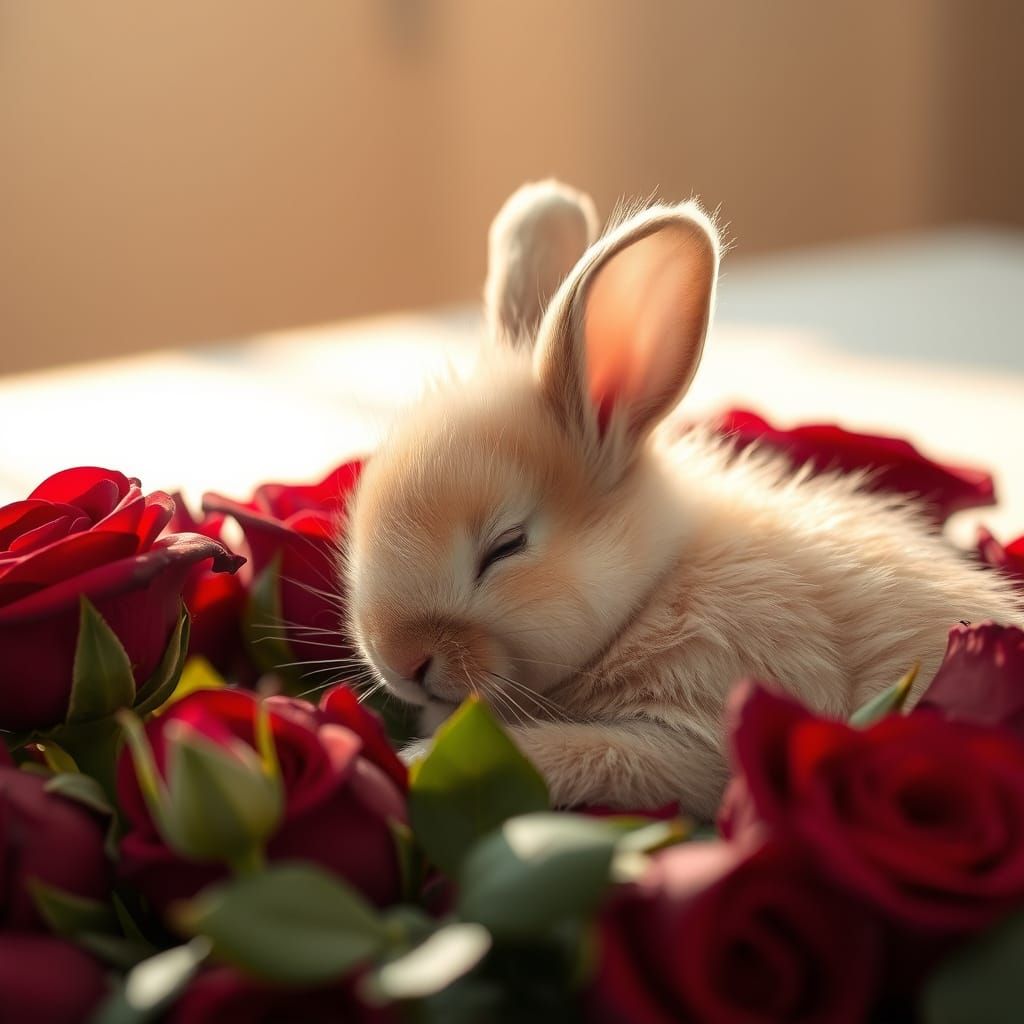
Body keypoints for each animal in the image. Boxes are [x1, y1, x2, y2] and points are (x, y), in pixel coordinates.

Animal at [341, 180, 1022, 819]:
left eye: (506, 546)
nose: (400, 661)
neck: (652, 591)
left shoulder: (705, 722)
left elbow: (582, 753)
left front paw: (416, 761)